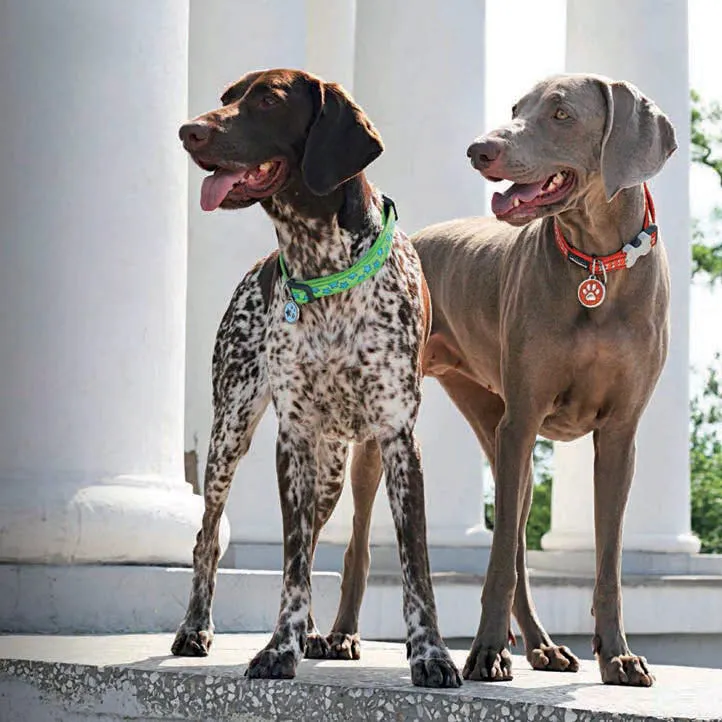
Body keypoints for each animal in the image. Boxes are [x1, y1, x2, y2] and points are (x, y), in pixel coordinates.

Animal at [172, 67, 458, 688]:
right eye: (227, 97)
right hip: (230, 434)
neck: (322, 270)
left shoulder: (398, 438)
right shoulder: (294, 439)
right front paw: (281, 647)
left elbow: (416, 566)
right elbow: (292, 563)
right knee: (208, 537)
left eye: (268, 99)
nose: (188, 130)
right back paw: (195, 627)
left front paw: (431, 654)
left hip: (330, 472)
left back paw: (327, 635)